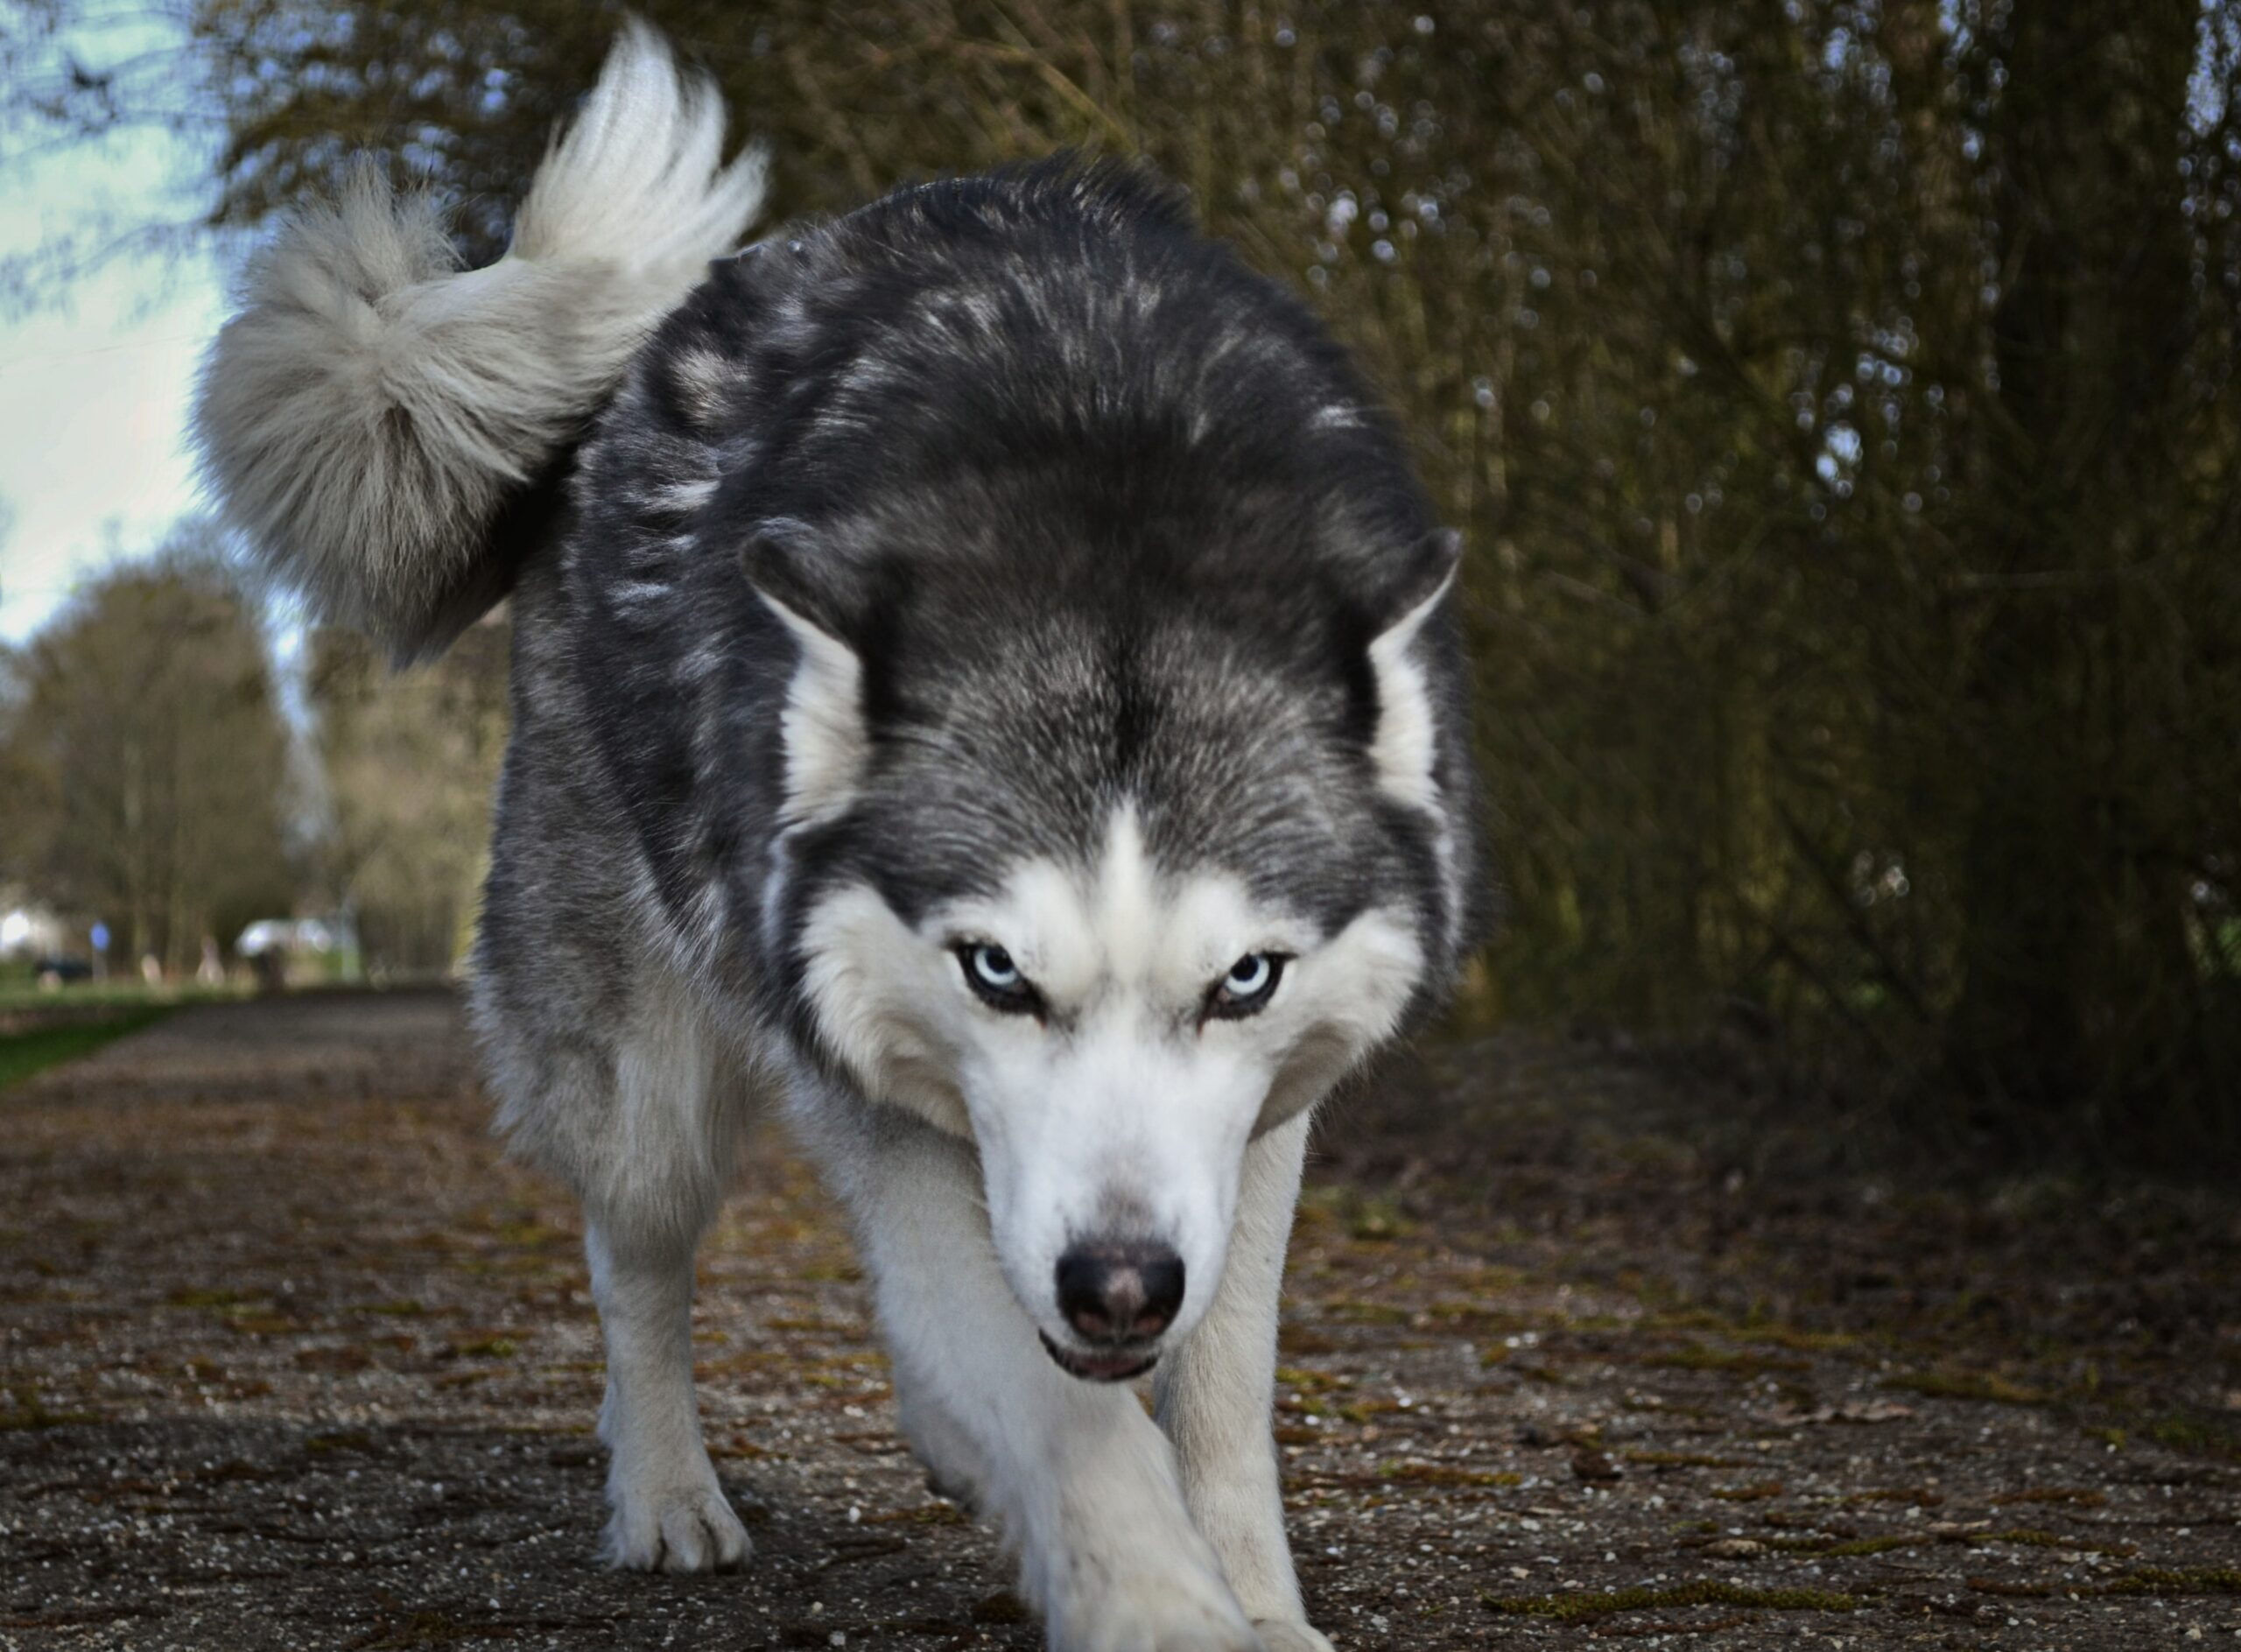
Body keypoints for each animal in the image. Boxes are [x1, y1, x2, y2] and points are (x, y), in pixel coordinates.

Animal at [201, 25, 1479, 1649]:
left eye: (1242, 978)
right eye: (995, 970)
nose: (1119, 1285)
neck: (1105, 469)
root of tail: (622, 381)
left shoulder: (1257, 1133)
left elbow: (1218, 1395)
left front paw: (1256, 1603)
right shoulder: (886, 1108)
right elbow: (1068, 1418)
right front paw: (1158, 1602)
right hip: (645, 1080)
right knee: (635, 1264)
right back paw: (667, 1497)